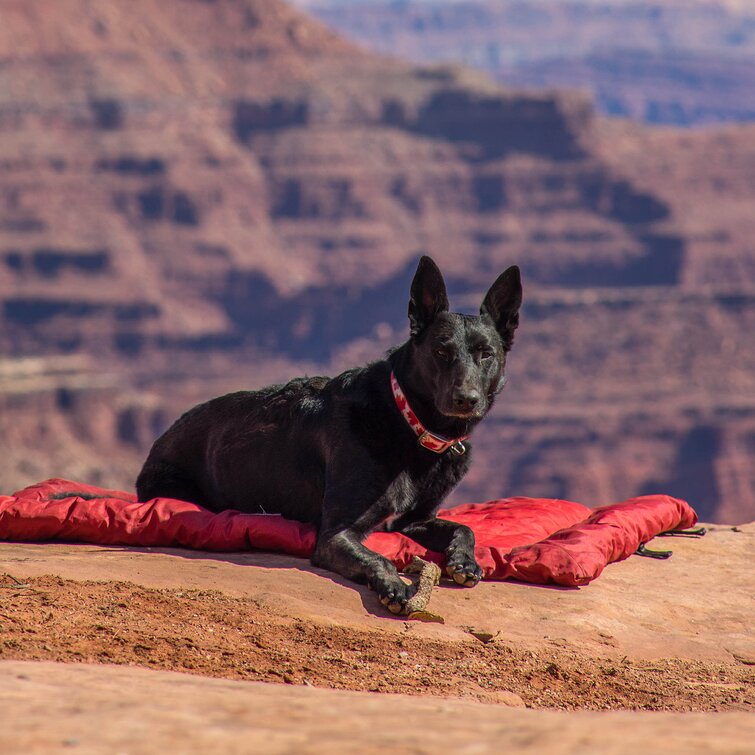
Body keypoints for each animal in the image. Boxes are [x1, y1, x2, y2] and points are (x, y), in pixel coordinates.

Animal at [136, 256, 524, 612]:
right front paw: (394, 587)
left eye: (486, 354)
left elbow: (464, 528)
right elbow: (378, 557)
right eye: (441, 351)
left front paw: (464, 561)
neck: (407, 421)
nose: (467, 400)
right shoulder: (336, 534)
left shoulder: (412, 521)